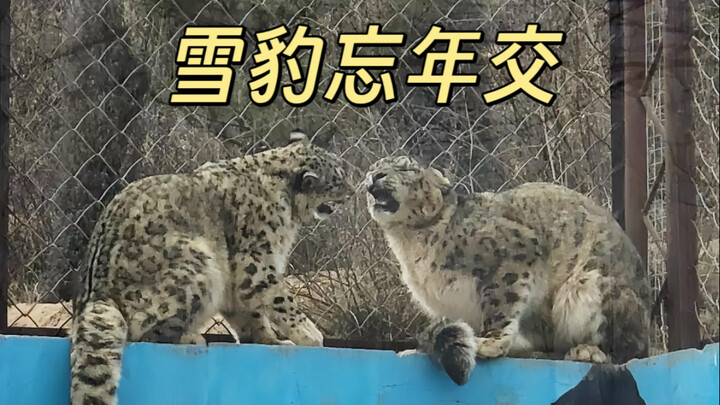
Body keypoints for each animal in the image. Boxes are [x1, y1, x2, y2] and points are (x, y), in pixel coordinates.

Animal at [70, 131, 351, 404]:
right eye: (337, 180)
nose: (352, 191)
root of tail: (95, 294)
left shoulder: (237, 279)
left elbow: (250, 314)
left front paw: (271, 340)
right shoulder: (256, 262)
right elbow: (278, 297)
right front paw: (309, 334)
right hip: (198, 263)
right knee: (142, 330)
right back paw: (190, 337)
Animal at [364, 155, 651, 385]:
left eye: (405, 168)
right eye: (374, 168)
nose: (375, 176)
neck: (408, 244)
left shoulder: (511, 256)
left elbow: (500, 308)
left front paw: (487, 343)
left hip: (589, 286)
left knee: (630, 349)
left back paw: (588, 350)